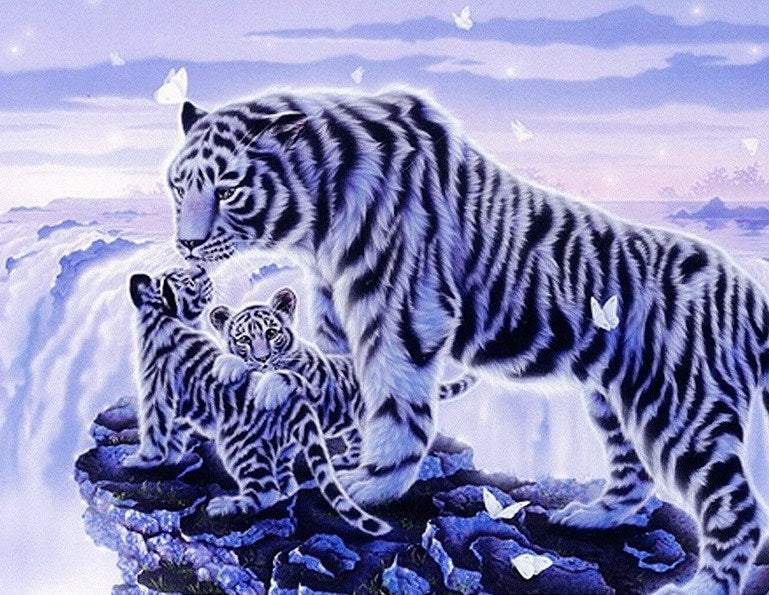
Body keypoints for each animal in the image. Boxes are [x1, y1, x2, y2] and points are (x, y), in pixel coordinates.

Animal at [123, 266, 390, 536]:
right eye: (188, 281)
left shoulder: (154, 392)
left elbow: (154, 430)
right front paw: (170, 458)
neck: (166, 319)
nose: (202, 271)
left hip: (239, 446)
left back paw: (224, 506)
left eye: (271, 333)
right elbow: (175, 432)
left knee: (265, 491)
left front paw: (142, 460)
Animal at [207, 286, 478, 470]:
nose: (262, 358)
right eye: (244, 339)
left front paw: (269, 390)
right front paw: (227, 366)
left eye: (272, 333)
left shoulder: (319, 389)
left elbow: (290, 376)